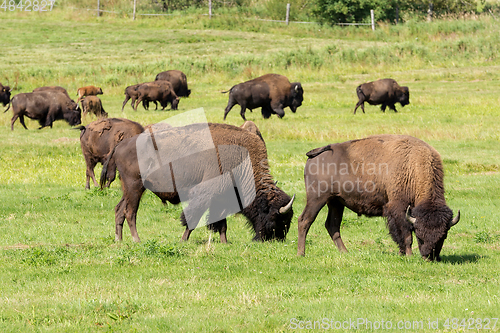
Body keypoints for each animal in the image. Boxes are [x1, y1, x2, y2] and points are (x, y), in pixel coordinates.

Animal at [100, 120, 294, 243]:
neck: (242, 160)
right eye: (277, 217)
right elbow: (193, 219)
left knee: (119, 210)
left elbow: (221, 224)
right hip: (135, 187)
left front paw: (224, 242)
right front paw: (183, 240)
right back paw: (137, 239)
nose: (276, 239)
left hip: (129, 189)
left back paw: (119, 239)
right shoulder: (205, 195)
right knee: (130, 212)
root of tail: (121, 144)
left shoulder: (221, 198)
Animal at [296, 134, 460, 260]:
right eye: (419, 235)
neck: (412, 166)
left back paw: (345, 252)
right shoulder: (398, 208)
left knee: (332, 225)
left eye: (443, 236)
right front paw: (408, 255)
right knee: (305, 220)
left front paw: (402, 254)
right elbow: (405, 234)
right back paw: (301, 254)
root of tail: (315, 155)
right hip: (317, 198)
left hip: (336, 202)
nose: (429, 257)